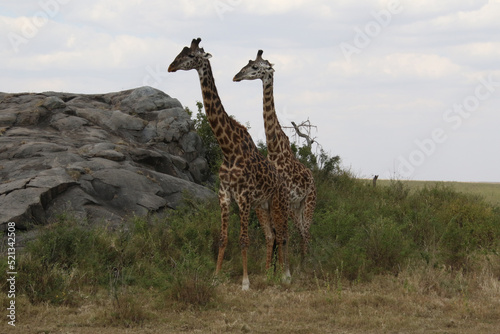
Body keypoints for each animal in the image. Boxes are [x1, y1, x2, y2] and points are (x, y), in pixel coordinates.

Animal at [168, 38, 290, 290]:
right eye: (180, 52)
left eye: (192, 55)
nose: (170, 66)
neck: (228, 148)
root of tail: (281, 180)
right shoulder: (224, 195)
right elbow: (223, 238)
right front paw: (215, 277)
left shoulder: (243, 197)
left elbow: (243, 239)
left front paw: (245, 282)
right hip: (263, 205)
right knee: (271, 235)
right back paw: (269, 275)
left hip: (277, 202)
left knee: (282, 234)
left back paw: (284, 276)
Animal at [233, 49, 316, 256]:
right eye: (247, 63)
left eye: (255, 66)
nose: (236, 76)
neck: (275, 150)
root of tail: (312, 177)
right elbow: (275, 238)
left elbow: (281, 237)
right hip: (295, 206)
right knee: (301, 233)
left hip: (309, 201)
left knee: (306, 233)